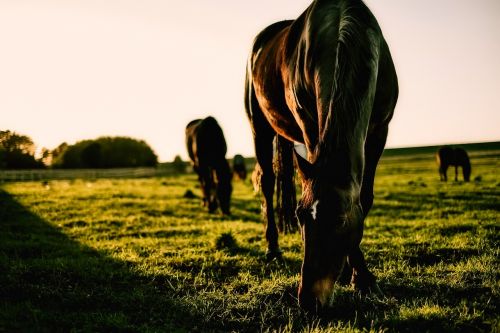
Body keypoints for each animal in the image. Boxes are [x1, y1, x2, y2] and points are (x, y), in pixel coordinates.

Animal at [245, 0, 398, 312]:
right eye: (301, 217)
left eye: (339, 221)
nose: (309, 301)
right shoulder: (310, 125)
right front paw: (362, 278)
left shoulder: (379, 131)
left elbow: (365, 198)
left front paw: (359, 277)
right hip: (259, 127)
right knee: (267, 183)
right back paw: (272, 249)